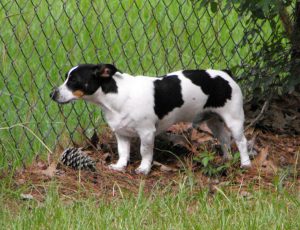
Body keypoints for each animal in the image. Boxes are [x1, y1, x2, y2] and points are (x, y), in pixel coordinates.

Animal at [50, 63, 252, 174]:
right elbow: (123, 152)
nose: (52, 94)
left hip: (234, 120)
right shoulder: (121, 134)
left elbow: (145, 152)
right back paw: (226, 159)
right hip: (213, 120)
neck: (117, 95)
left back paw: (245, 163)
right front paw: (120, 166)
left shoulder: (146, 133)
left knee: (241, 142)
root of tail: (226, 74)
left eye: (73, 80)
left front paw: (144, 169)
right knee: (224, 139)